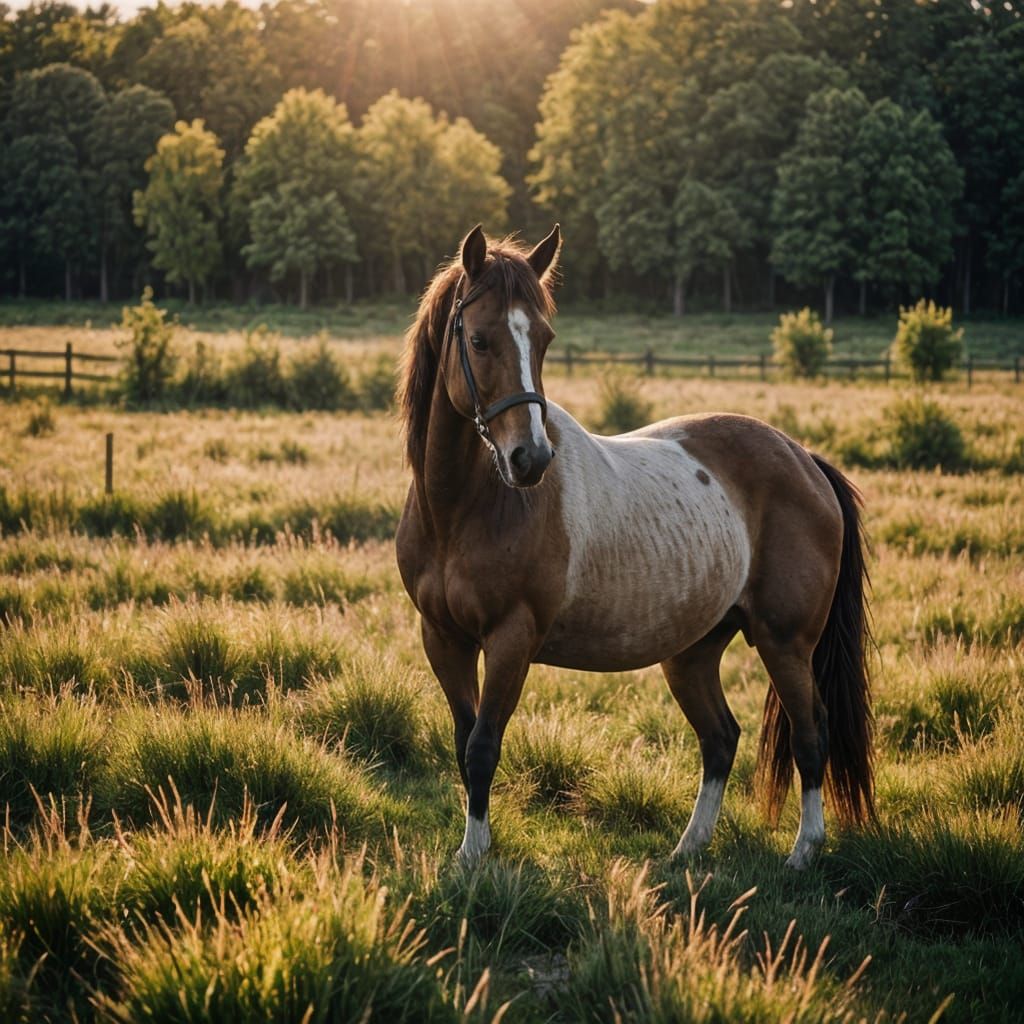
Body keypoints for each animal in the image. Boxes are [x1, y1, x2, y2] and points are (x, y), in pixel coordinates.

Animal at [396, 225, 873, 870]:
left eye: (543, 339)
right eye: (478, 338)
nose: (531, 459)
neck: (464, 509)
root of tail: (805, 461)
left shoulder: (510, 641)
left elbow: (482, 747)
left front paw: (473, 857)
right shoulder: (443, 639)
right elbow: (462, 741)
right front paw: (473, 850)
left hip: (785, 643)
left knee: (811, 732)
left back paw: (803, 852)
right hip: (694, 651)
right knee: (720, 737)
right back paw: (687, 850)